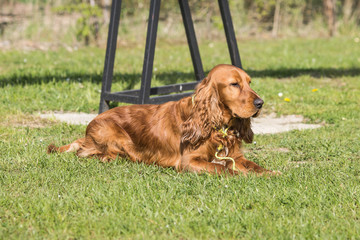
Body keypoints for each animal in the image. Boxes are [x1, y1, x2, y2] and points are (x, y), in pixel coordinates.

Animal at [47, 64, 278, 175]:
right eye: (234, 84)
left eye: (249, 82)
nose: (260, 103)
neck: (217, 125)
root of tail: (89, 127)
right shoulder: (189, 161)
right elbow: (222, 167)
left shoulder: (236, 156)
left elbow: (254, 166)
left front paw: (271, 172)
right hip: (115, 135)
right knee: (89, 153)